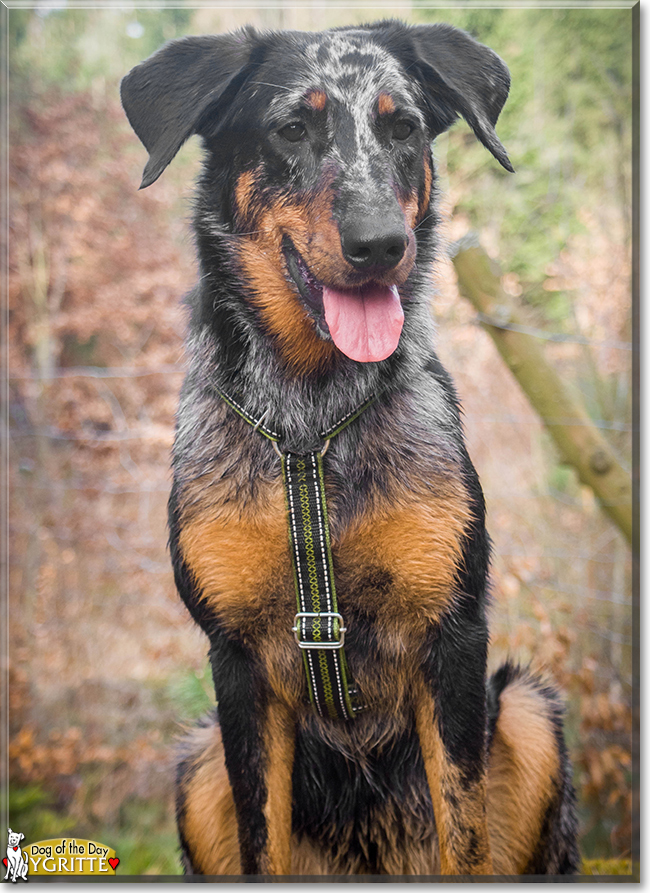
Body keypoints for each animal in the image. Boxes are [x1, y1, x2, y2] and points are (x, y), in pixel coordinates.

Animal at [121, 20, 576, 880]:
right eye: (291, 129)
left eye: (404, 129)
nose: (381, 245)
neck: (310, 422)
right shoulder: (236, 666)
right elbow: (262, 838)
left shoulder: (453, 639)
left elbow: (463, 832)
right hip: (196, 764)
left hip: (529, 710)